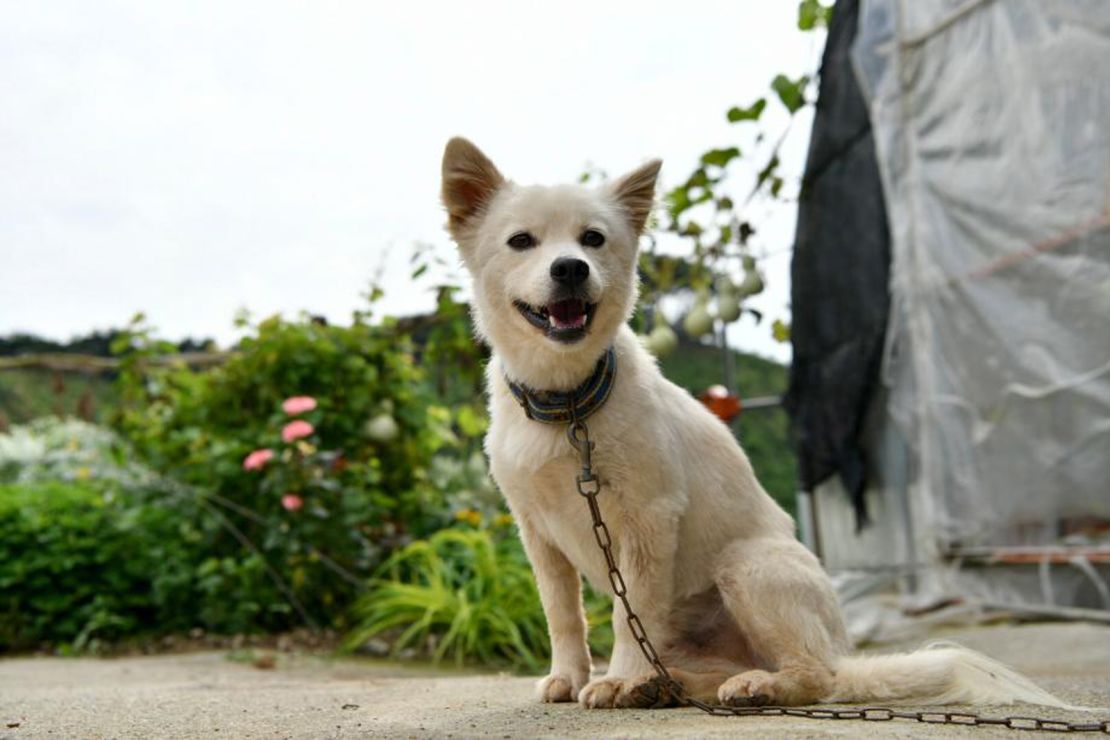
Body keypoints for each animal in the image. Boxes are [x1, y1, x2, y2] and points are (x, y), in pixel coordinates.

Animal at [437, 135, 1070, 710]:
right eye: (521, 242)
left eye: (593, 239)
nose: (570, 268)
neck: (568, 403)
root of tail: (841, 648)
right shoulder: (538, 533)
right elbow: (563, 615)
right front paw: (570, 676)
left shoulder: (646, 522)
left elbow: (627, 613)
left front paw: (617, 678)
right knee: (709, 670)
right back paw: (669, 686)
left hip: (747, 566)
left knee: (817, 677)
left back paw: (751, 686)